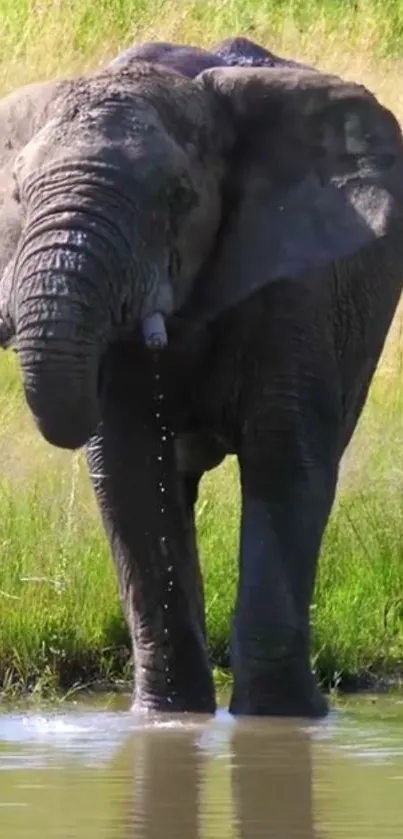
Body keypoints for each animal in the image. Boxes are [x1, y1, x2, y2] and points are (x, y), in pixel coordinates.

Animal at [0, 39, 403, 720]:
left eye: (178, 197)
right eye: (19, 198)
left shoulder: (294, 282)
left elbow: (284, 461)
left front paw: (282, 720)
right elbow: (133, 472)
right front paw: (168, 719)